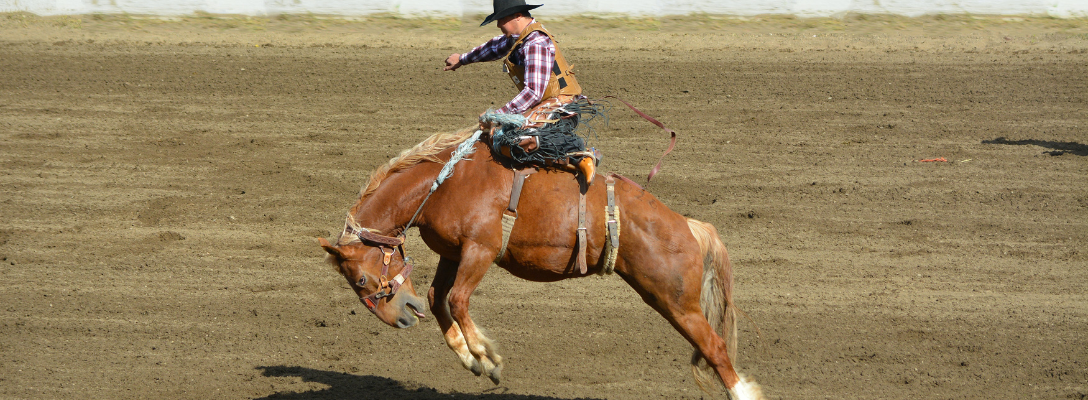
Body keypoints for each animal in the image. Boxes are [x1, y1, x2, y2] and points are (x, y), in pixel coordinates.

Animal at [317, 126, 765, 397]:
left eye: (360, 280)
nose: (401, 319)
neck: (442, 184)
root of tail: (689, 225)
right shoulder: (452, 252)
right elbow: (437, 297)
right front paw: (470, 358)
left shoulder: (480, 250)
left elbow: (458, 300)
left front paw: (489, 358)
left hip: (678, 302)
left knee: (716, 348)